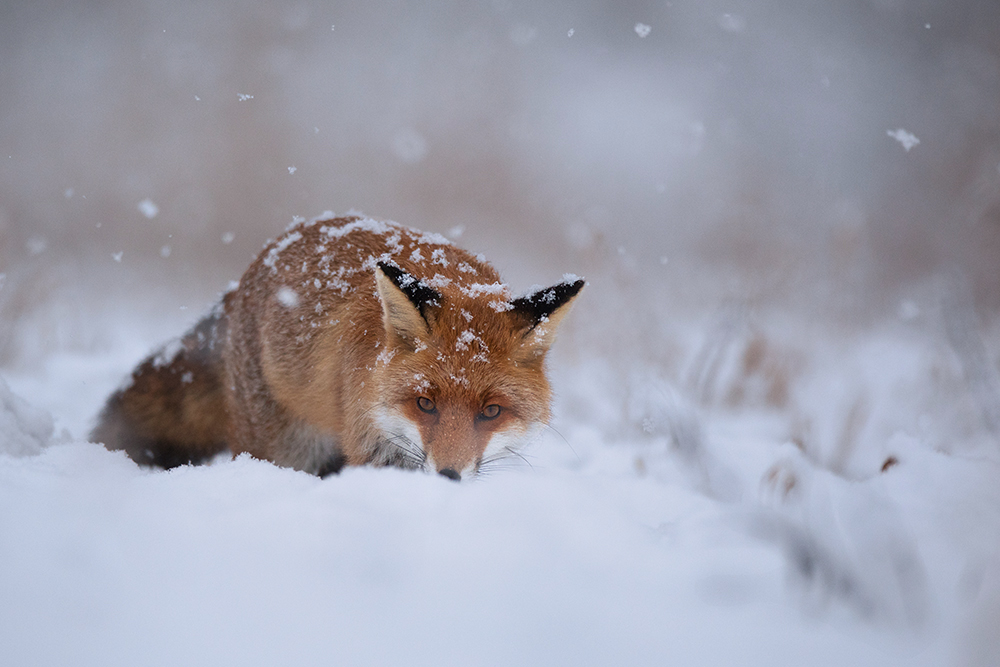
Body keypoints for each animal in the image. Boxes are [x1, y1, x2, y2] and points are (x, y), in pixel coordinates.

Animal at [93, 214, 584, 480]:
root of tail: (259, 260)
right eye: (425, 404)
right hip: (283, 449)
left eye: (491, 411)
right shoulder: (373, 443)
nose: (448, 476)